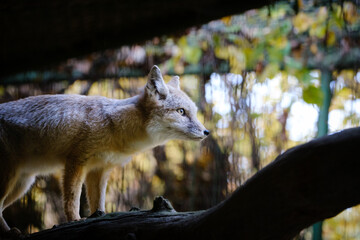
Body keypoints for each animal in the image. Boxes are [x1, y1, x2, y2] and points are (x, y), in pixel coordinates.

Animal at [0, 65, 210, 234]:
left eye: (194, 112)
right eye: (181, 112)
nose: (207, 132)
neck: (114, 127)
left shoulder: (99, 170)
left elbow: (98, 205)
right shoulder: (76, 161)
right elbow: (71, 199)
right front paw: (74, 221)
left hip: (22, 184)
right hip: (12, 180)